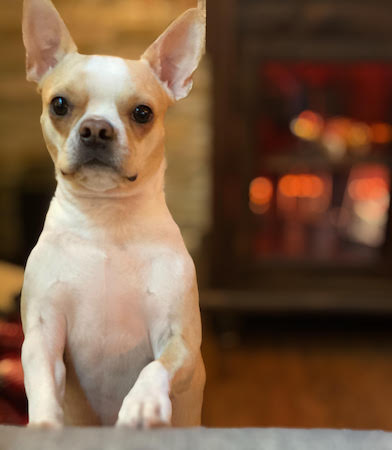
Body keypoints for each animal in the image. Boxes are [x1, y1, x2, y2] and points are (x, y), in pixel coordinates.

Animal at [20, 0, 207, 428]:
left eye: (142, 113)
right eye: (59, 104)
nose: (96, 129)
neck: (106, 222)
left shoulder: (180, 339)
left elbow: (155, 367)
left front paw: (143, 402)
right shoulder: (42, 334)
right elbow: (41, 379)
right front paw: (44, 422)